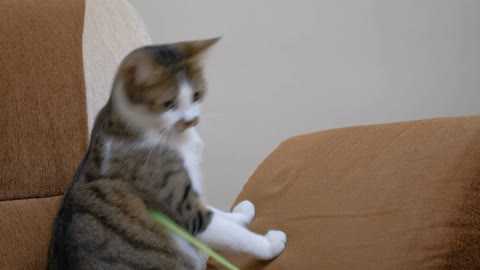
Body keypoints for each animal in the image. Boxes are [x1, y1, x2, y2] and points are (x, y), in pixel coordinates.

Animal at [47, 38, 288, 270]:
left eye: (197, 95)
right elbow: (233, 234)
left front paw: (241, 214)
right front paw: (270, 244)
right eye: (168, 104)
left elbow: (221, 215)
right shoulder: (186, 212)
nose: (191, 121)